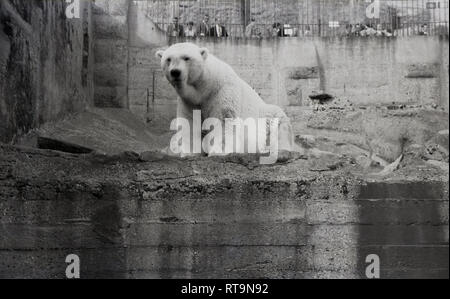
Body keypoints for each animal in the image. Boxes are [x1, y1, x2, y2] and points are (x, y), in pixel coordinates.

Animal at [156, 42, 296, 162]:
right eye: (168, 59)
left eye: (186, 58)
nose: (175, 72)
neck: (204, 89)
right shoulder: (189, 102)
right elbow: (189, 122)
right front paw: (189, 153)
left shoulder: (222, 91)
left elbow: (223, 121)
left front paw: (219, 152)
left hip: (264, 115)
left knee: (278, 121)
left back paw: (280, 152)